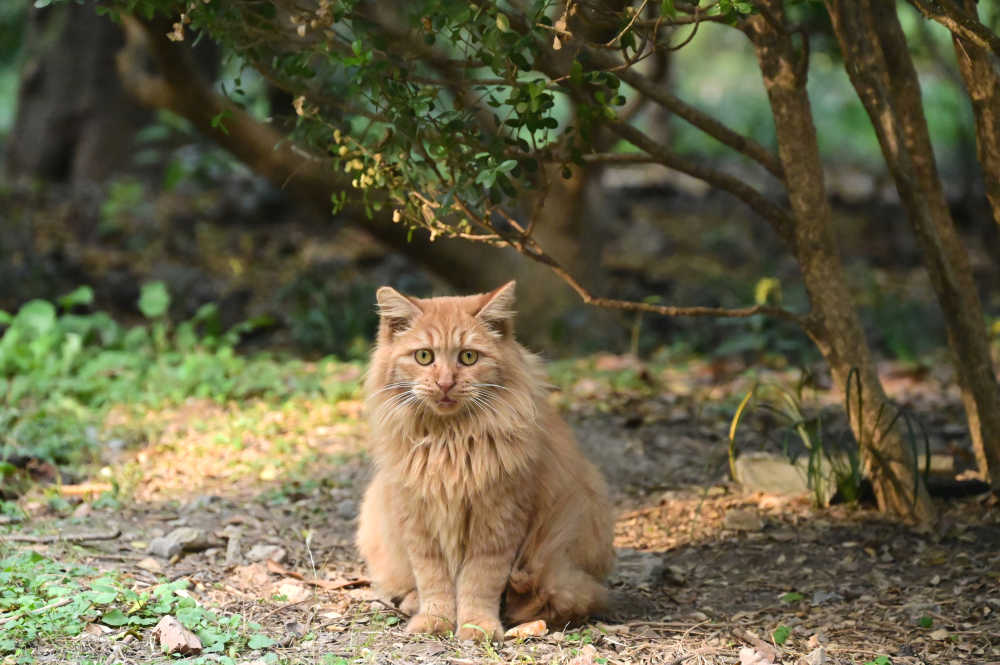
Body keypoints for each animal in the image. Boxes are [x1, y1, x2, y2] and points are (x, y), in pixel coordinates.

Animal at [356, 278, 612, 640]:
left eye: (468, 357)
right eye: (424, 356)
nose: (445, 382)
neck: (449, 440)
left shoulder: (498, 520)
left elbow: (479, 582)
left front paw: (477, 626)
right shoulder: (418, 520)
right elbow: (433, 581)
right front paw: (434, 620)